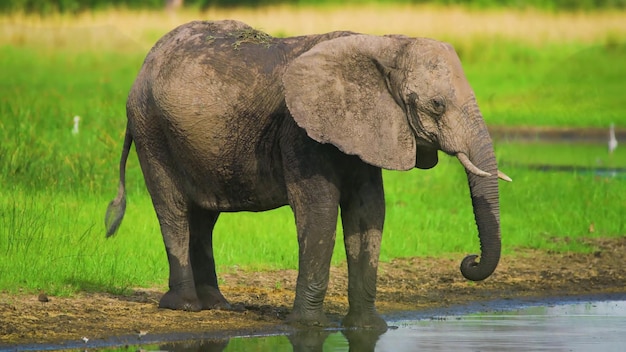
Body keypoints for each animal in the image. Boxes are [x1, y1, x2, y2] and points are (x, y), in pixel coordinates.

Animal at [105, 18, 510, 328]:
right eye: (437, 105)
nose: (469, 261)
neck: (382, 44)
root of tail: (145, 63)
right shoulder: (300, 132)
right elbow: (319, 213)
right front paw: (306, 326)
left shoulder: (364, 131)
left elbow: (369, 213)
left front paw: (367, 327)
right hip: (151, 128)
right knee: (173, 209)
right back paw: (186, 306)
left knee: (204, 216)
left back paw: (216, 304)